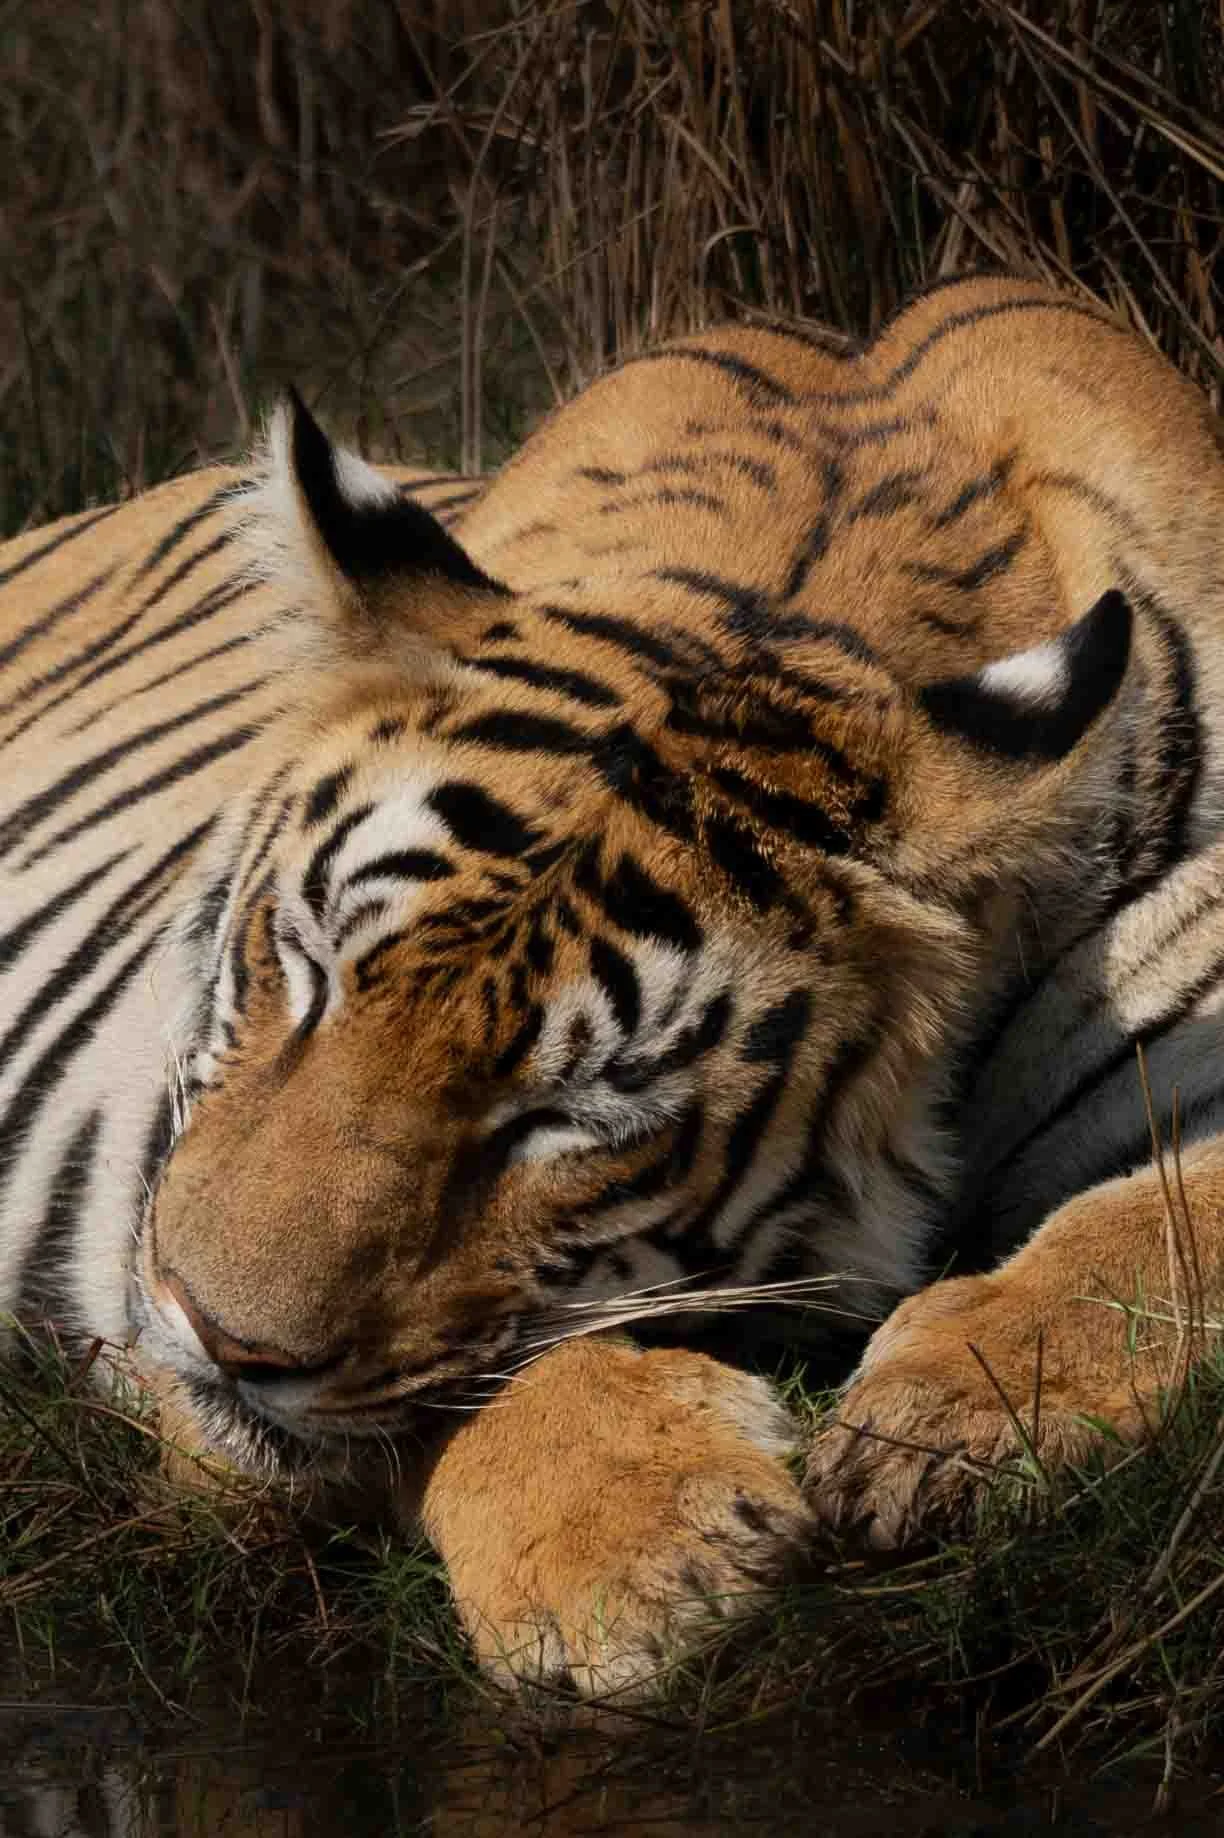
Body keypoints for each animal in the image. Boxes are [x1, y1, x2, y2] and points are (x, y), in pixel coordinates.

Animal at [5, 273, 1224, 1699]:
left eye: (569, 1118)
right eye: (305, 972)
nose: (212, 1334)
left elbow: (1156, 1229)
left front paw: (961, 1411)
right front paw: (636, 1543)